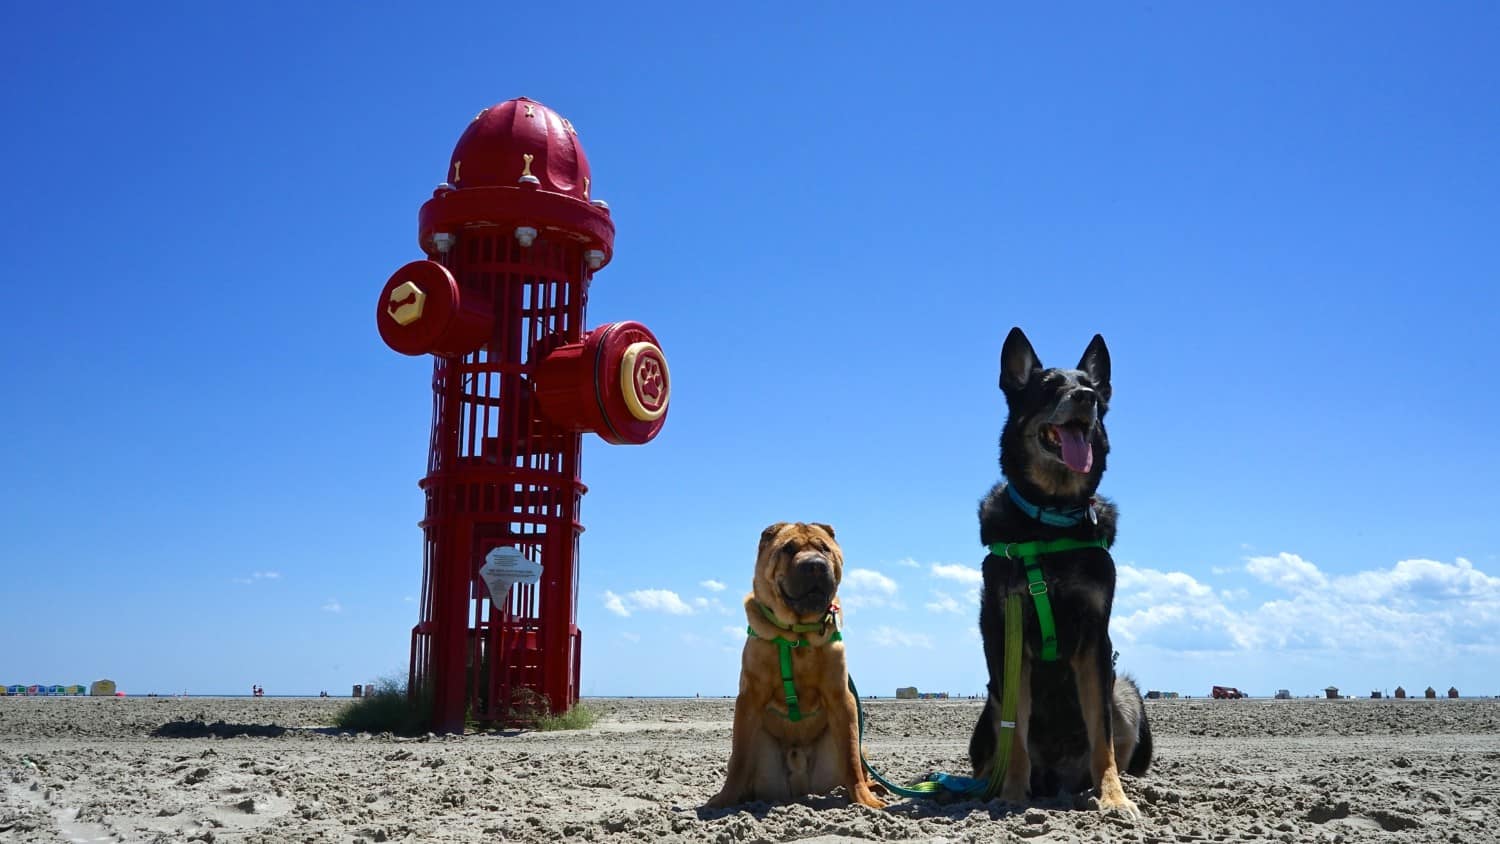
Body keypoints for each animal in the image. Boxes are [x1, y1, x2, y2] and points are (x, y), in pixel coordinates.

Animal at [705, 521, 882, 809]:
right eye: (788, 549)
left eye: (824, 549)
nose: (815, 565)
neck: (796, 634)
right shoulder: (749, 698)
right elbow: (739, 759)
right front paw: (723, 801)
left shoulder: (841, 698)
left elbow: (851, 759)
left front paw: (865, 800)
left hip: (858, 744)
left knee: (857, 760)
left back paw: (874, 787)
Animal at [972, 326, 1146, 815]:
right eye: (1049, 386)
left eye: (1093, 389)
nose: (1085, 398)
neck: (1050, 518)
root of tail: (1057, 777)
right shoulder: (1009, 639)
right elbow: (1015, 736)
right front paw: (1011, 796)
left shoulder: (1094, 641)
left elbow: (1103, 737)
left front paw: (1113, 797)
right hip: (987, 707)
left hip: (1125, 691)